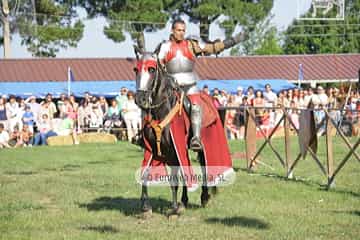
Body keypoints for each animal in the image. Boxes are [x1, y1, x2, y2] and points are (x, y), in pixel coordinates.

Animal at [134, 47, 214, 216]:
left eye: (151, 69)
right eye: (135, 69)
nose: (140, 99)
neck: (161, 111)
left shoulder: (174, 149)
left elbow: (175, 180)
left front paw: (174, 209)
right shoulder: (153, 149)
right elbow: (145, 173)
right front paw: (146, 207)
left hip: (200, 147)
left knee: (203, 166)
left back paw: (204, 197)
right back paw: (184, 201)